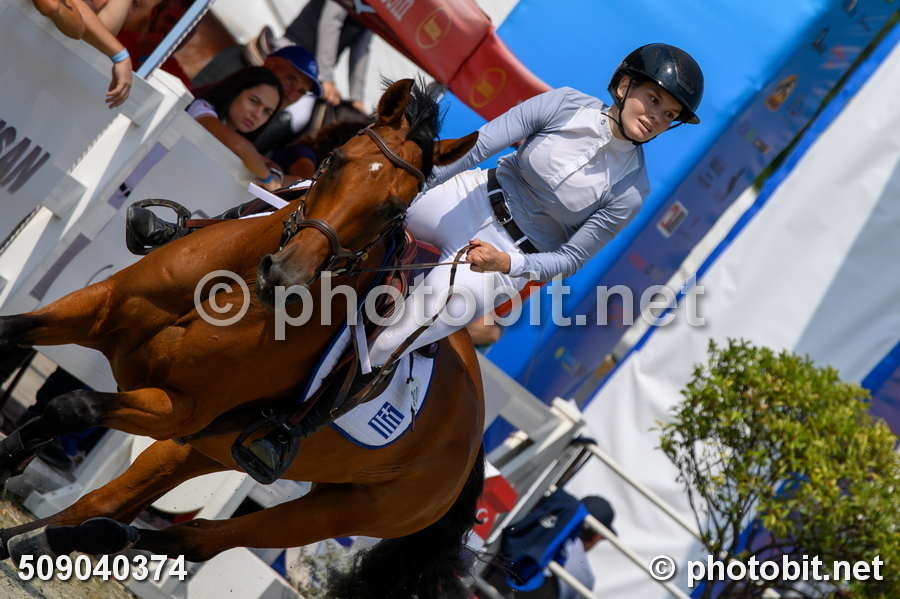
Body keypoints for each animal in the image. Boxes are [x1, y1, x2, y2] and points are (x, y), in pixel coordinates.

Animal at [0, 79, 484, 599]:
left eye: (394, 209)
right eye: (335, 159)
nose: (285, 275)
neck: (230, 284)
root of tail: (475, 435)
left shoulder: (178, 408)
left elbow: (73, 407)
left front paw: (11, 460)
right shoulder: (93, 309)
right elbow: (12, 332)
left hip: (338, 511)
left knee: (194, 538)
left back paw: (55, 542)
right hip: (203, 449)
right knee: (113, 504)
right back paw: (37, 539)